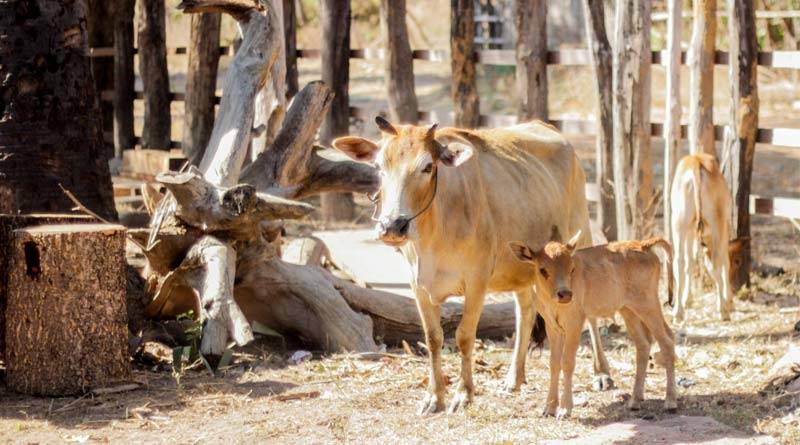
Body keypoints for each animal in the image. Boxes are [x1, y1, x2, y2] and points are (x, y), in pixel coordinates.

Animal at [512, 231, 676, 418]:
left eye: (572, 268)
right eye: (543, 270)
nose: (565, 294)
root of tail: (643, 245)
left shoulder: (574, 323)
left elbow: (567, 362)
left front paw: (565, 409)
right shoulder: (552, 327)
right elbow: (554, 363)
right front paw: (549, 408)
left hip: (648, 305)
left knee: (667, 341)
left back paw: (670, 402)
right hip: (629, 311)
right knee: (644, 345)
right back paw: (634, 401)